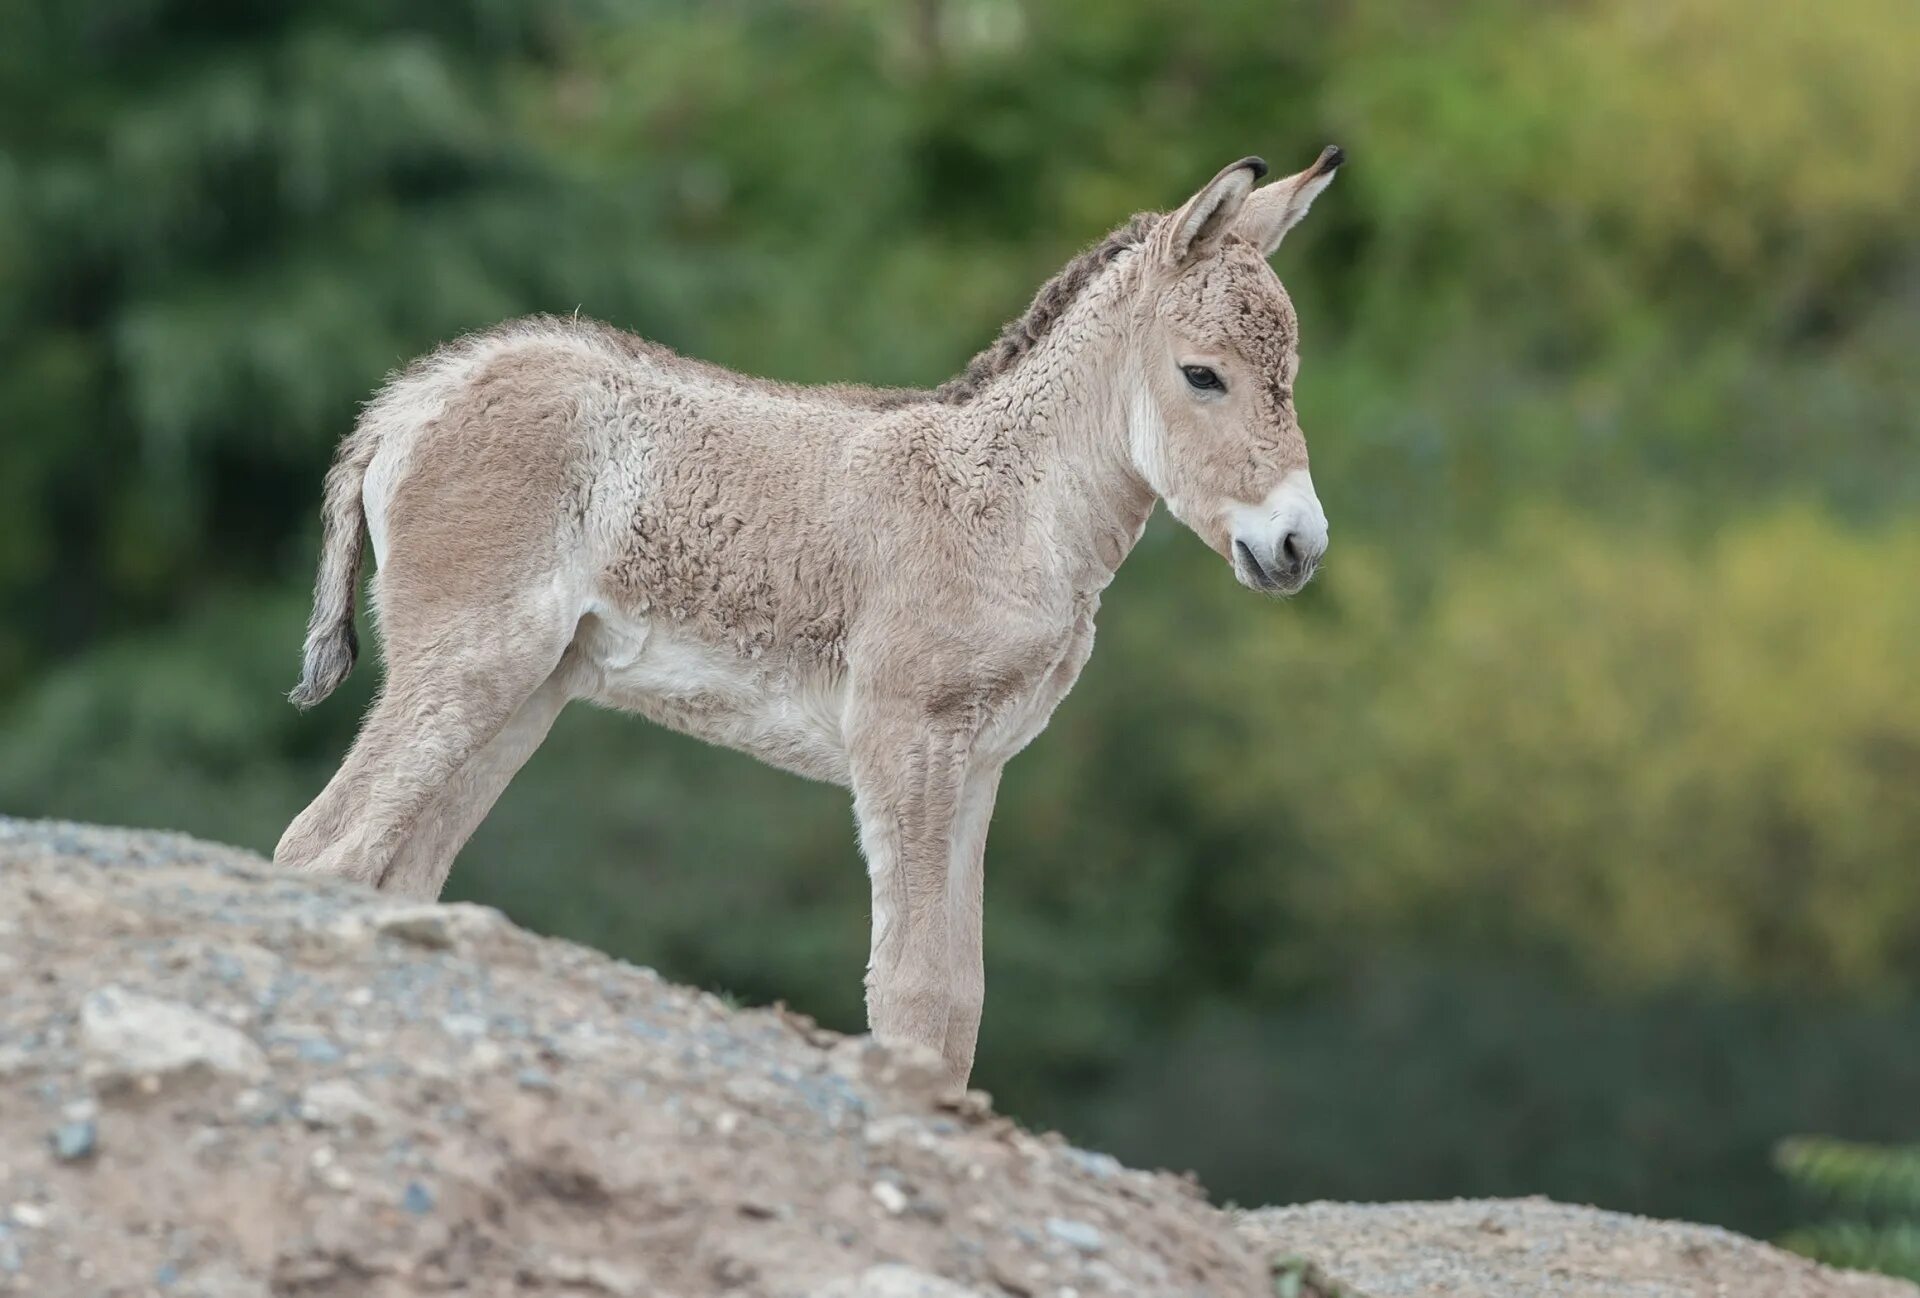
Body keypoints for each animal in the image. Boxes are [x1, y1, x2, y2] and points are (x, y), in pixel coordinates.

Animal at [278, 146, 1344, 1090]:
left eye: (1291, 369)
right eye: (1203, 375)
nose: (1300, 544)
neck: (1013, 506)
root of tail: (410, 399)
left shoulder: (980, 766)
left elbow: (961, 1002)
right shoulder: (905, 743)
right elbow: (911, 992)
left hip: (524, 695)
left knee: (397, 872)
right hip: (468, 664)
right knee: (324, 848)